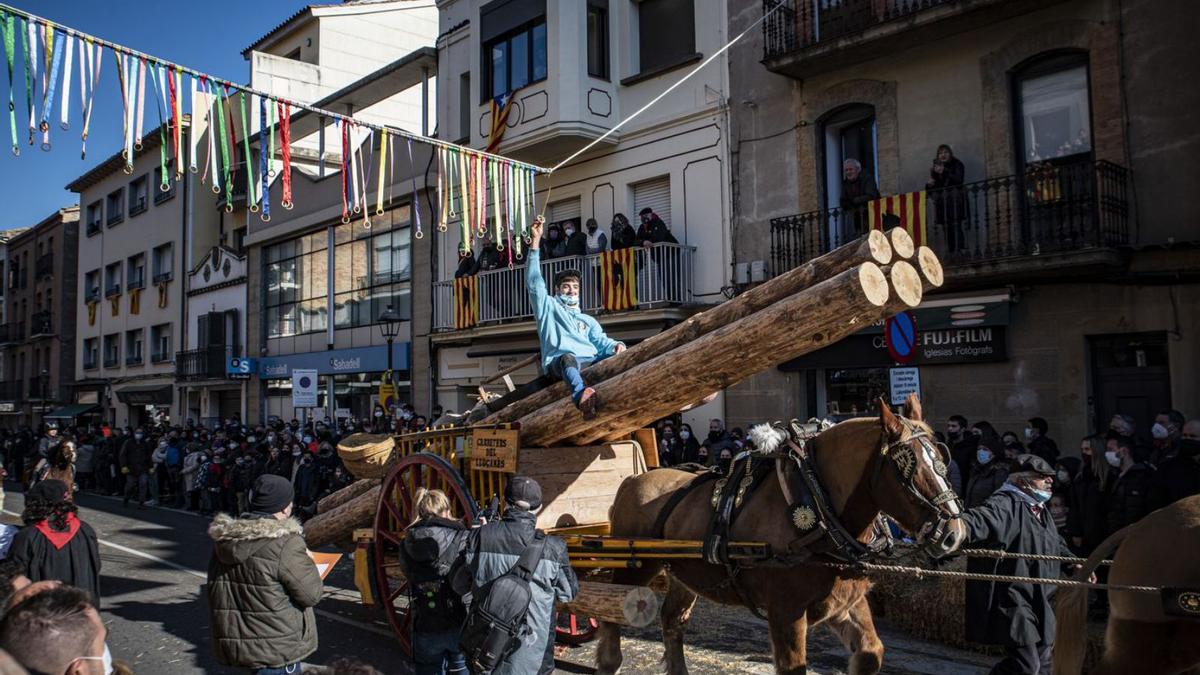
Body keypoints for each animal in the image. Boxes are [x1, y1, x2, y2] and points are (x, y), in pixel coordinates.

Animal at [597, 393, 964, 672]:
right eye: (908, 467)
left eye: (941, 458)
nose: (954, 533)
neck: (817, 501)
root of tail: (633, 479)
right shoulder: (786, 611)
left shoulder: (845, 602)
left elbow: (870, 653)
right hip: (635, 567)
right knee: (609, 612)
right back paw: (609, 660)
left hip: (685, 574)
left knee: (672, 621)